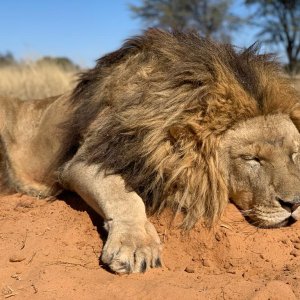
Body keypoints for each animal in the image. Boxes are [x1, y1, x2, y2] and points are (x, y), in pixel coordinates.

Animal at [1, 28, 300, 274]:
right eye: (252, 159)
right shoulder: (85, 160)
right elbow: (121, 193)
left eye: (295, 154)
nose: (295, 203)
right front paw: (136, 244)